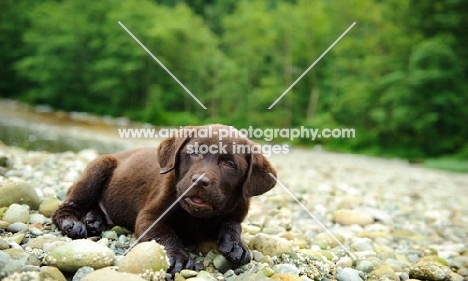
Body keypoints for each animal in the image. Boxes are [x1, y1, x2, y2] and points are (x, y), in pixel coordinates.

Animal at [52, 123, 276, 272]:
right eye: (194, 153)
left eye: (229, 164)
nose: (199, 180)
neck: (197, 217)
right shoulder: (150, 216)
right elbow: (164, 234)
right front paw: (177, 257)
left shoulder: (238, 212)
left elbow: (233, 224)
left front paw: (237, 245)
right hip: (98, 169)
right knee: (67, 207)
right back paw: (74, 223)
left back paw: (94, 219)